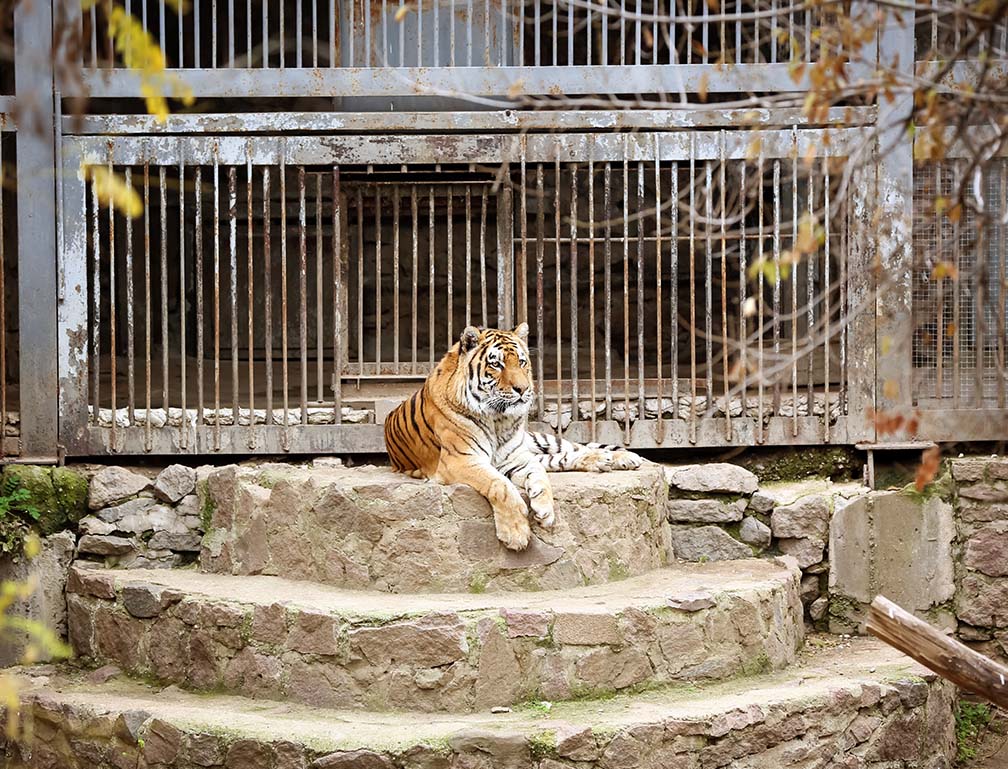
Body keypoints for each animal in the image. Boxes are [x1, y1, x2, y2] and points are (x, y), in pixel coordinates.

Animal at [381, 322, 641, 552]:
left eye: (522, 362)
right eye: (497, 364)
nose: (524, 389)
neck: (498, 419)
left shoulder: (517, 458)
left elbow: (540, 474)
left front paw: (544, 509)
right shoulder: (461, 461)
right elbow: (500, 485)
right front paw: (516, 534)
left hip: (538, 441)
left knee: (573, 449)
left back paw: (622, 458)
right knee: (560, 459)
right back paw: (607, 461)